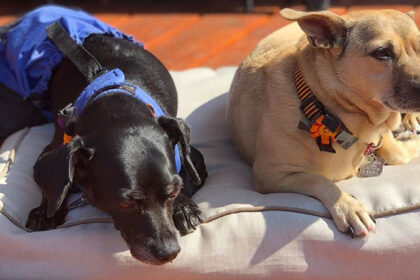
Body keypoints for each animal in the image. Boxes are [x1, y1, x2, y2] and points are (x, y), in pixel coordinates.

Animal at [0, 6, 207, 264]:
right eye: (126, 202)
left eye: (174, 192)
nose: (169, 253)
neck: (114, 102)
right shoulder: (48, 155)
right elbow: (54, 183)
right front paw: (46, 212)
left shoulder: (193, 157)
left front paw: (184, 207)